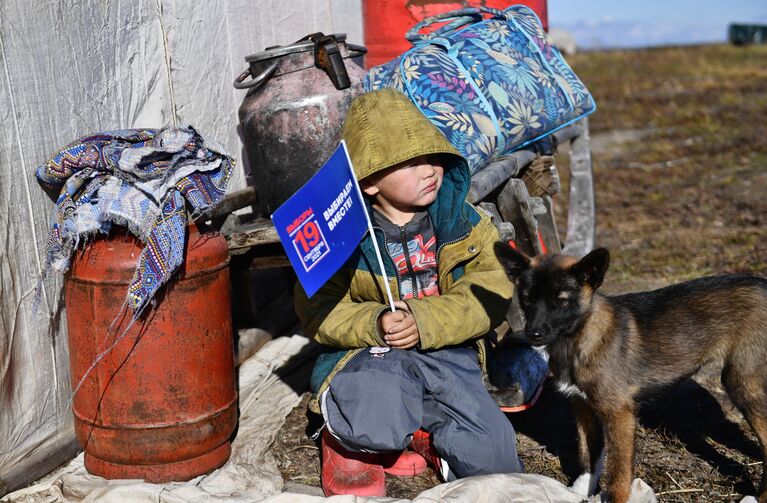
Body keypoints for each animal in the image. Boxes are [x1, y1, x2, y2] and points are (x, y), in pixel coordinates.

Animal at [492, 243, 767, 503]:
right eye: (527, 299)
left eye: (560, 301)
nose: (533, 334)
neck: (579, 339)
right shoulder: (582, 406)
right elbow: (588, 455)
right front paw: (579, 491)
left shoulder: (619, 413)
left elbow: (618, 474)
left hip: (742, 383)